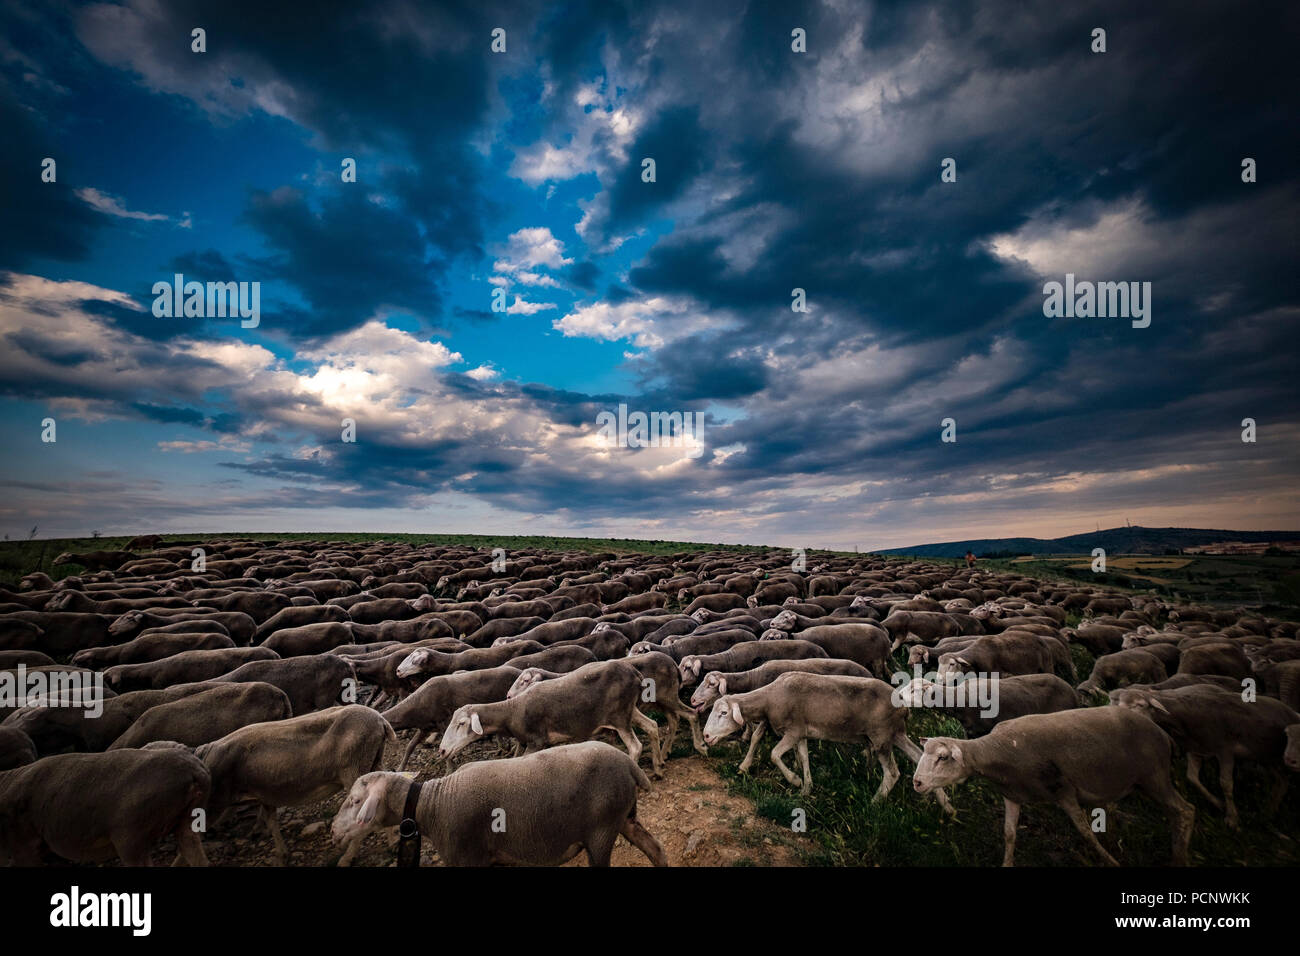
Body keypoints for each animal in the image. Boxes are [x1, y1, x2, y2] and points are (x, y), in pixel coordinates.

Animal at [197, 702, 395, 868]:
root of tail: (380, 721)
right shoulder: (265, 794)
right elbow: (271, 821)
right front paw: (281, 855)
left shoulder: (216, 801)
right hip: (373, 764)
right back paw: (392, 842)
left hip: (354, 768)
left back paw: (347, 859)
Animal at [439, 665, 660, 780]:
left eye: (461, 723)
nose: (441, 751)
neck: (512, 711)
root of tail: (635, 673)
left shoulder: (536, 741)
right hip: (630, 710)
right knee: (652, 726)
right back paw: (658, 768)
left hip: (620, 716)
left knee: (636, 746)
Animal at [702, 671, 956, 816]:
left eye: (723, 713)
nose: (705, 736)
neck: (770, 698)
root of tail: (903, 704)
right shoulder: (801, 732)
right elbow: (804, 758)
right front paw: (806, 788)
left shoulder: (793, 731)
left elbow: (774, 754)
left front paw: (794, 780)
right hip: (896, 734)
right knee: (919, 758)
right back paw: (948, 807)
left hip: (881, 737)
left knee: (893, 773)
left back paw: (873, 804)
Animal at [909, 707, 1190, 868]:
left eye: (943, 757)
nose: (917, 782)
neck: (998, 751)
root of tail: (1162, 733)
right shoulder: (1012, 795)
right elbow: (1009, 834)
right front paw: (1007, 863)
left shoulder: (1063, 791)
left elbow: (1086, 832)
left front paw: (1110, 861)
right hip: (1146, 781)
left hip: (1155, 776)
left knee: (1185, 812)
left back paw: (1179, 859)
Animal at [1107, 686, 1300, 832]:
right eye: (1116, 702)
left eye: (1140, 704)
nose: (1118, 717)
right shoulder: (1196, 750)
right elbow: (1192, 778)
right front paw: (1219, 804)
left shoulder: (1225, 751)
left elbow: (1226, 784)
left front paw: (1232, 818)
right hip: (1267, 757)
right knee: (1282, 781)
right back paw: (1268, 812)